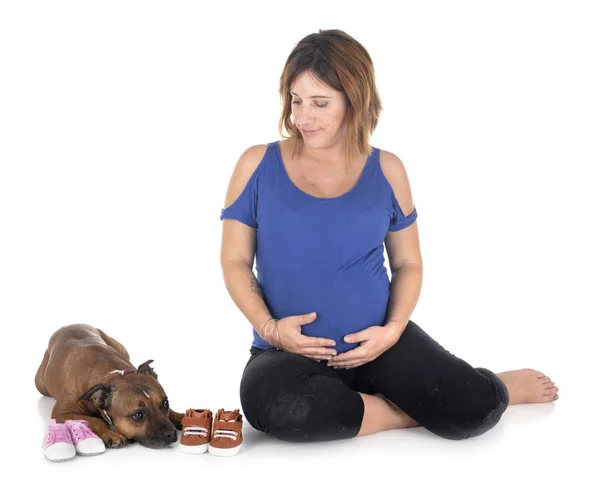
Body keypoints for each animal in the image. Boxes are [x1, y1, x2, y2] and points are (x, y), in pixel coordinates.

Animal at [35, 324, 184, 448]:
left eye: (166, 403)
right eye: (138, 415)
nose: (172, 433)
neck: (113, 375)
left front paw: (179, 417)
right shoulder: (62, 412)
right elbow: (95, 420)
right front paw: (112, 435)